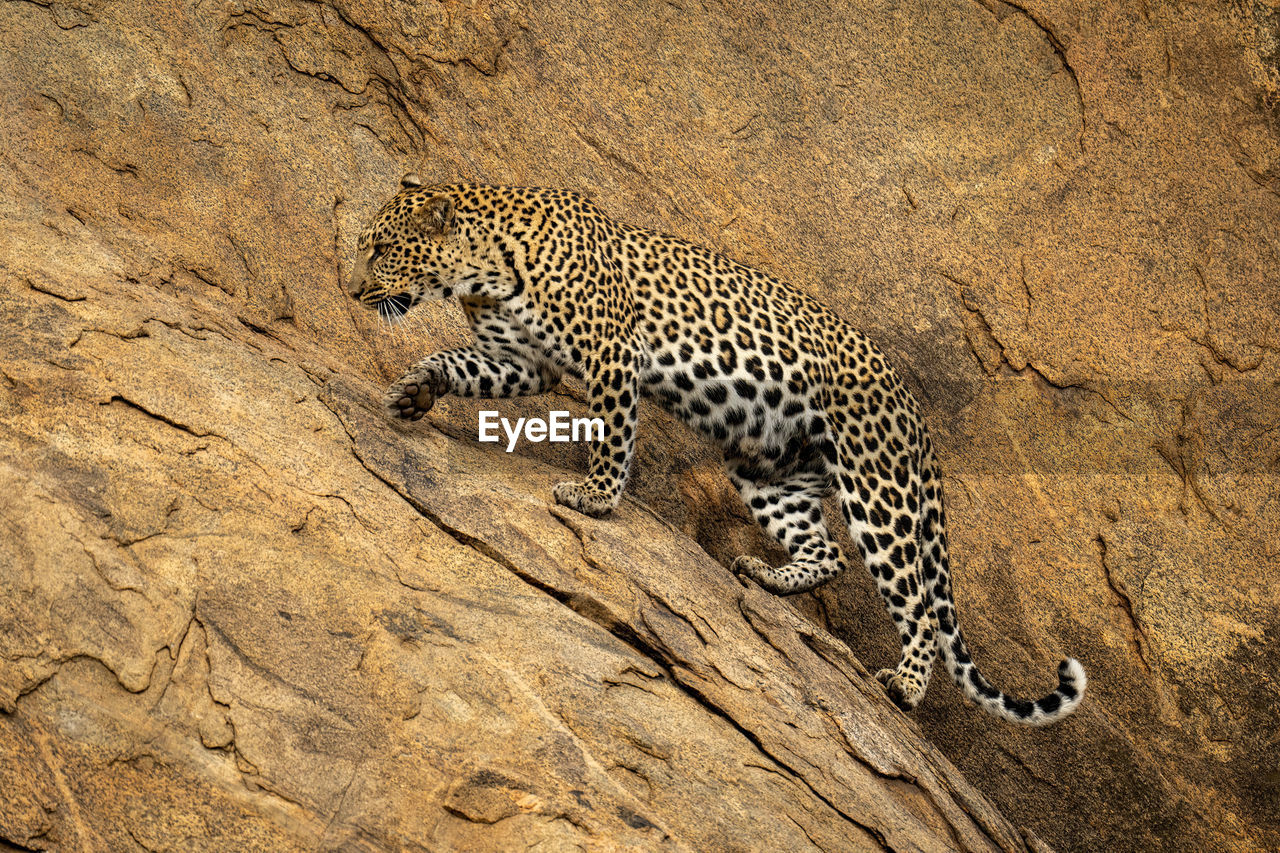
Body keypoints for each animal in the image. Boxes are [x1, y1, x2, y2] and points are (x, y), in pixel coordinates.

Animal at [345, 175, 1085, 722]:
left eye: (380, 250)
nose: (351, 288)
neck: (483, 271)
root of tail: (918, 418)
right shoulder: (526, 363)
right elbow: (455, 361)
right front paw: (412, 393)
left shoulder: (612, 355)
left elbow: (615, 433)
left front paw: (595, 498)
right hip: (768, 469)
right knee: (828, 553)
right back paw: (768, 575)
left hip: (880, 492)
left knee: (921, 604)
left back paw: (903, 685)